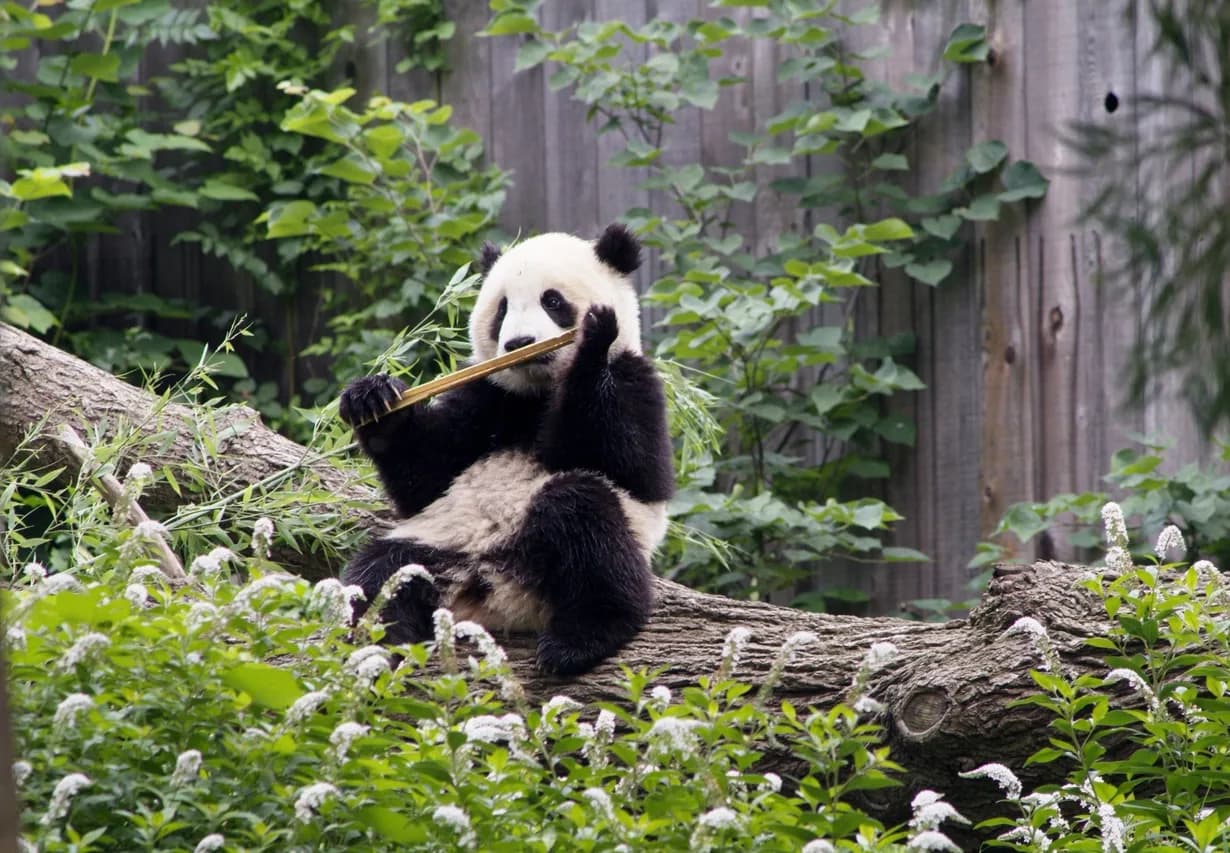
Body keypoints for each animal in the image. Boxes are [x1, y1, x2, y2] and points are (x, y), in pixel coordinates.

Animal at [337, 223, 675, 675]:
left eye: (552, 301)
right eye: (502, 309)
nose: (519, 343)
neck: (535, 391)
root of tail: (492, 588)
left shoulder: (637, 382)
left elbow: (628, 463)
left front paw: (592, 341)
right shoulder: (487, 393)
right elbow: (426, 477)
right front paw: (371, 400)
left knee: (584, 517)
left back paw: (579, 640)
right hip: (439, 540)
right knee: (381, 572)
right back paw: (374, 644)